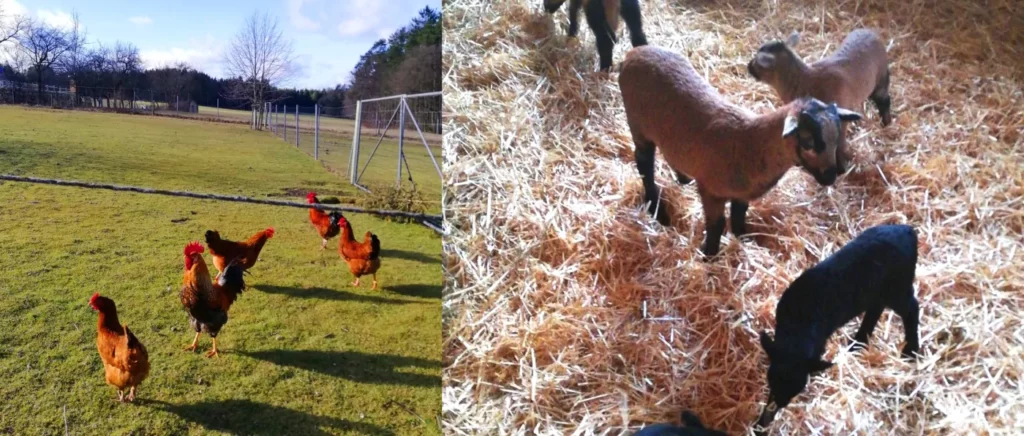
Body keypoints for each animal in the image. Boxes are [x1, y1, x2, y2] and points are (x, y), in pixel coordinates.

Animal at [618, 46, 860, 258]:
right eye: (808, 141)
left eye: (837, 136)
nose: (831, 176)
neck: (752, 142)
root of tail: (635, 53)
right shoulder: (711, 192)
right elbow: (717, 225)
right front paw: (709, 256)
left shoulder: (742, 193)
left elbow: (738, 217)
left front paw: (744, 240)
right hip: (638, 125)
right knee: (644, 164)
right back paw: (655, 206)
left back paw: (683, 177)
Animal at [749, 29, 892, 173]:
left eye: (757, 62)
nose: (748, 66)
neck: (805, 80)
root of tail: (870, 32)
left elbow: (838, 145)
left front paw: (841, 168)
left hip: (881, 78)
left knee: (884, 100)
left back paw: (887, 123)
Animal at [753, 223, 921, 433]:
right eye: (771, 379)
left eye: (798, 387)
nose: (781, 403)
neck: (797, 326)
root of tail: (908, 230)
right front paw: (761, 422)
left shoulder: (818, 343)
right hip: (879, 291)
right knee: (876, 308)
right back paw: (858, 342)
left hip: (898, 287)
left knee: (911, 308)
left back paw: (910, 350)